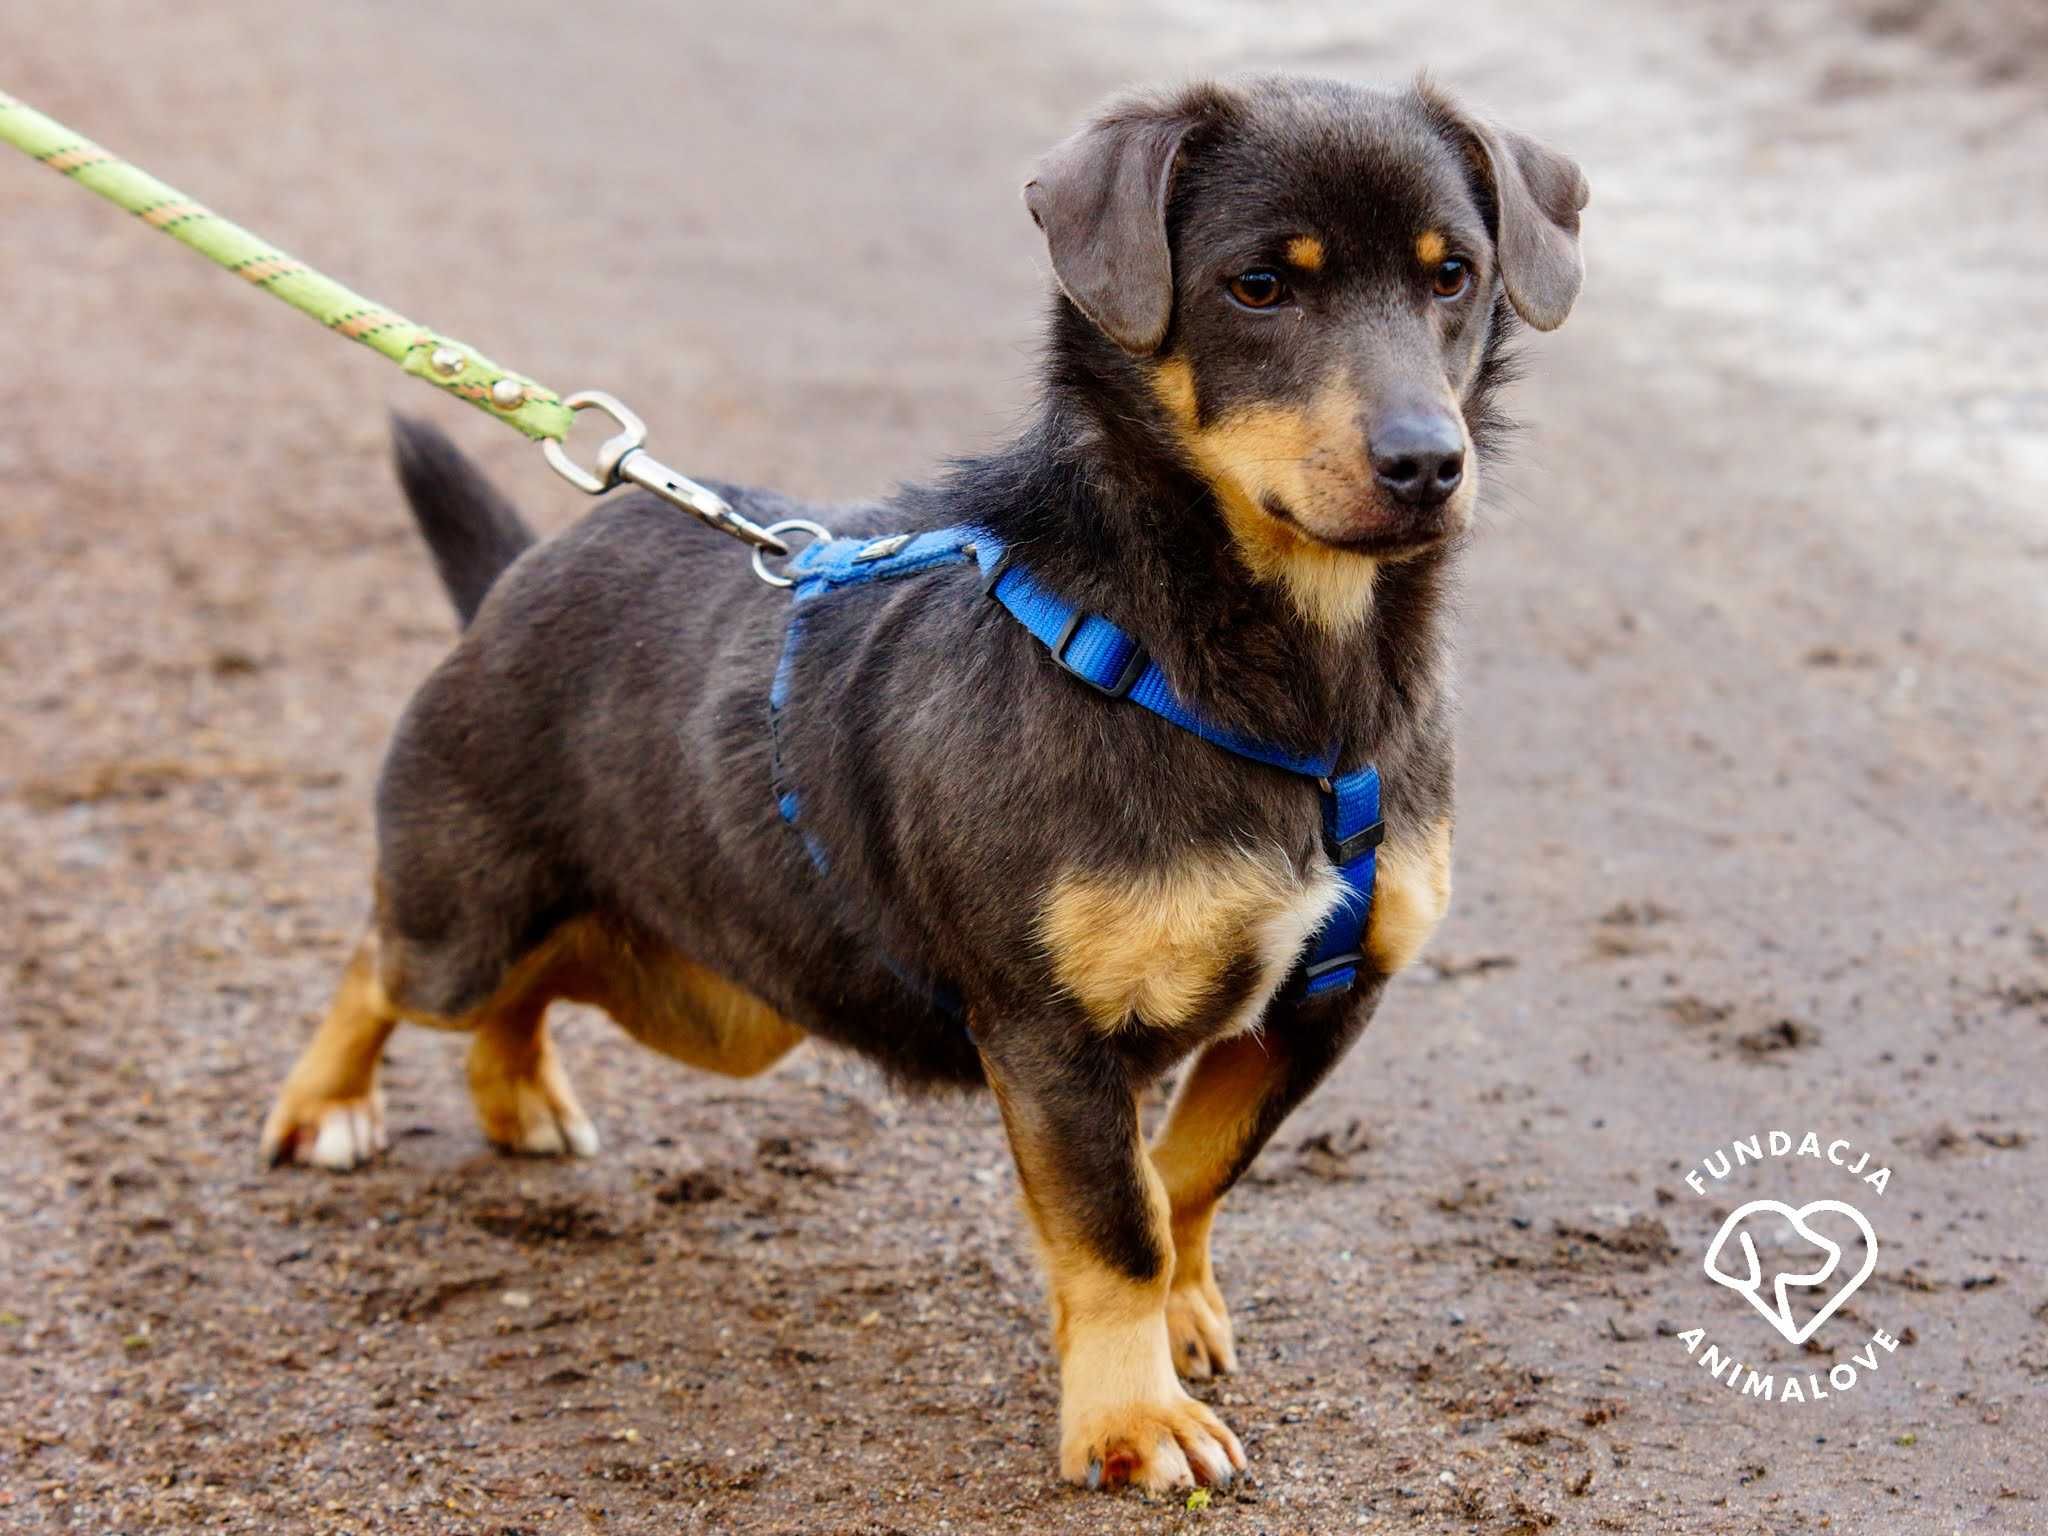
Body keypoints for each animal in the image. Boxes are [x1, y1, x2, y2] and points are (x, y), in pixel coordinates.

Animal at [264, 78, 1589, 1499]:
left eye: (1450, 276)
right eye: (1256, 288)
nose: (1425, 465)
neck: (1260, 674)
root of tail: (520, 573)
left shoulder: (1324, 1002)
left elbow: (1183, 1179)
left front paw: (1173, 1322)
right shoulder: (1048, 1030)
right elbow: (1117, 1222)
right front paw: (1132, 1417)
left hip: (722, 998)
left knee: (538, 985)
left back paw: (516, 1094)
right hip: (470, 927)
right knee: (385, 960)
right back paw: (326, 1105)